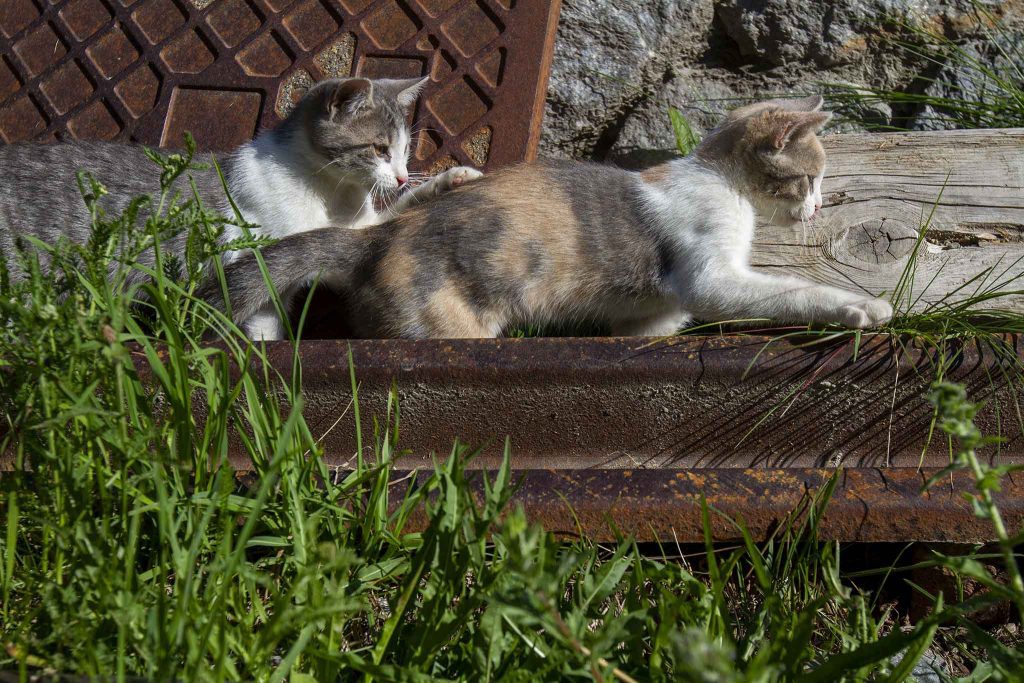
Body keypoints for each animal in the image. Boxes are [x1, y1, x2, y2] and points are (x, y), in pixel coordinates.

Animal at [0, 76, 479, 339]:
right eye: (379, 149)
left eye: (404, 151)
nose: (400, 175)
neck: (331, 196)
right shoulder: (257, 258)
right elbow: (265, 319)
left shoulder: (354, 228)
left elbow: (390, 215)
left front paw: (448, 180)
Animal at [209, 94, 897, 339]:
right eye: (811, 176)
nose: (816, 206)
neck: (720, 181)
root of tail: (377, 240)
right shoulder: (711, 277)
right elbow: (789, 292)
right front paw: (857, 307)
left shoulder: (653, 312)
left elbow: (649, 329)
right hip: (448, 328)